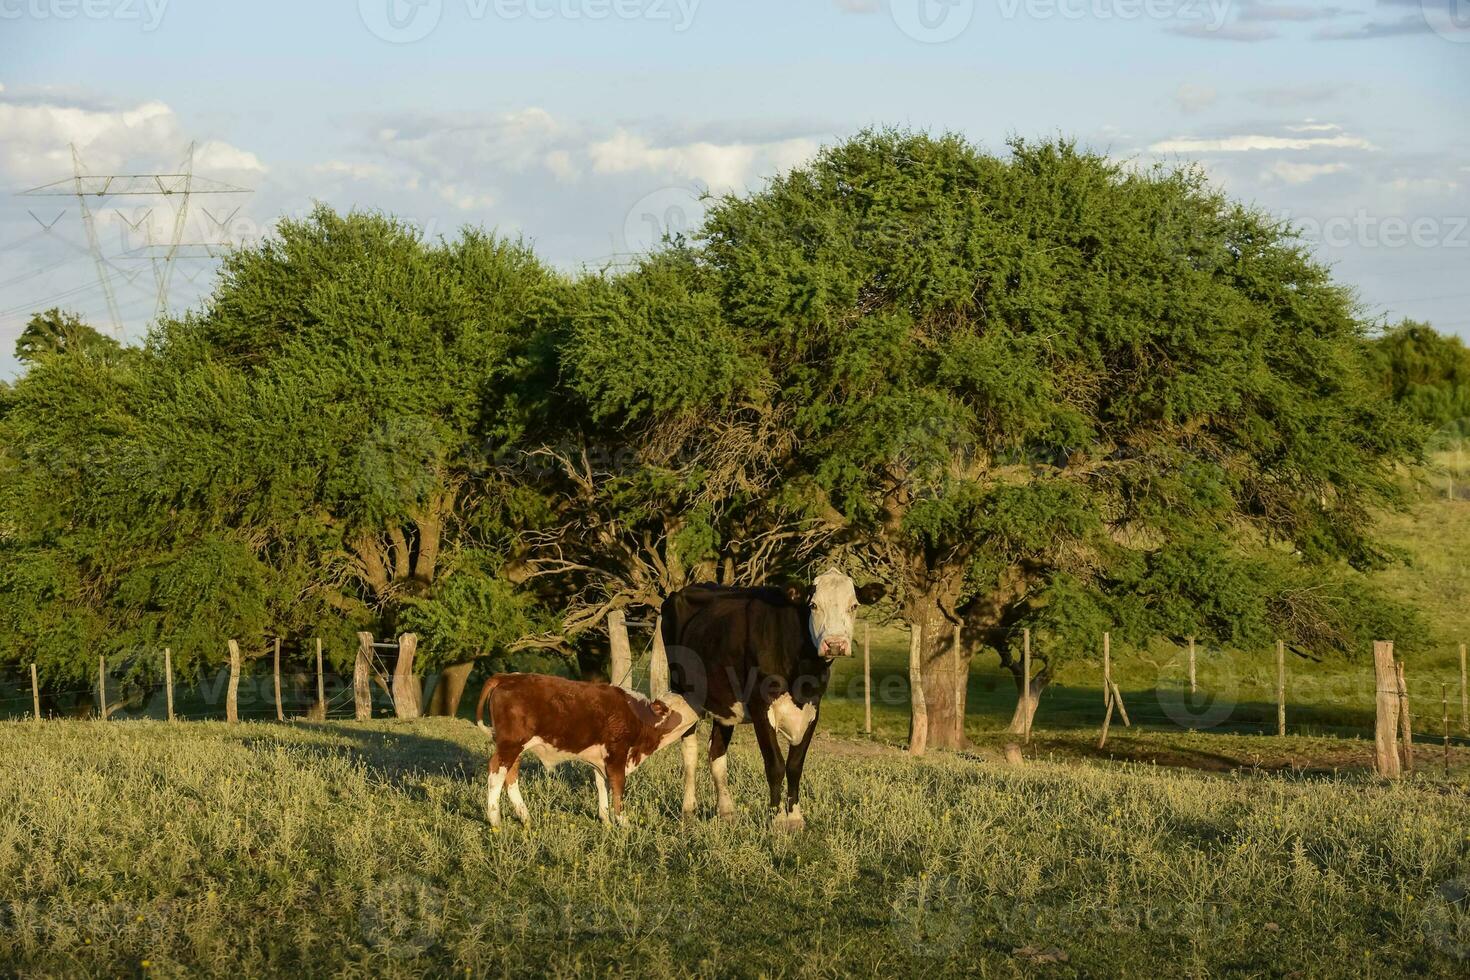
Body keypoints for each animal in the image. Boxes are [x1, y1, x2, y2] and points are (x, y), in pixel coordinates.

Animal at [473, 675, 696, 828]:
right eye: (677, 706)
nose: (699, 709)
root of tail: (507, 676)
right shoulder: (617, 754)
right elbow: (618, 786)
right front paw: (623, 821)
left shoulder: (600, 759)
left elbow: (601, 784)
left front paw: (605, 819)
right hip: (510, 744)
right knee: (496, 773)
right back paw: (495, 820)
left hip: (516, 748)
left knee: (510, 776)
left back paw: (525, 817)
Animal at [664, 570, 882, 834]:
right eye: (813, 605)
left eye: (854, 605)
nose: (835, 644)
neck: (802, 674)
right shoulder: (760, 706)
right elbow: (775, 764)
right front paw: (777, 820)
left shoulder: (813, 709)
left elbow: (795, 765)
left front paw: (796, 818)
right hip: (683, 691)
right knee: (689, 751)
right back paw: (688, 811)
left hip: (724, 701)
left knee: (716, 751)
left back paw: (726, 812)